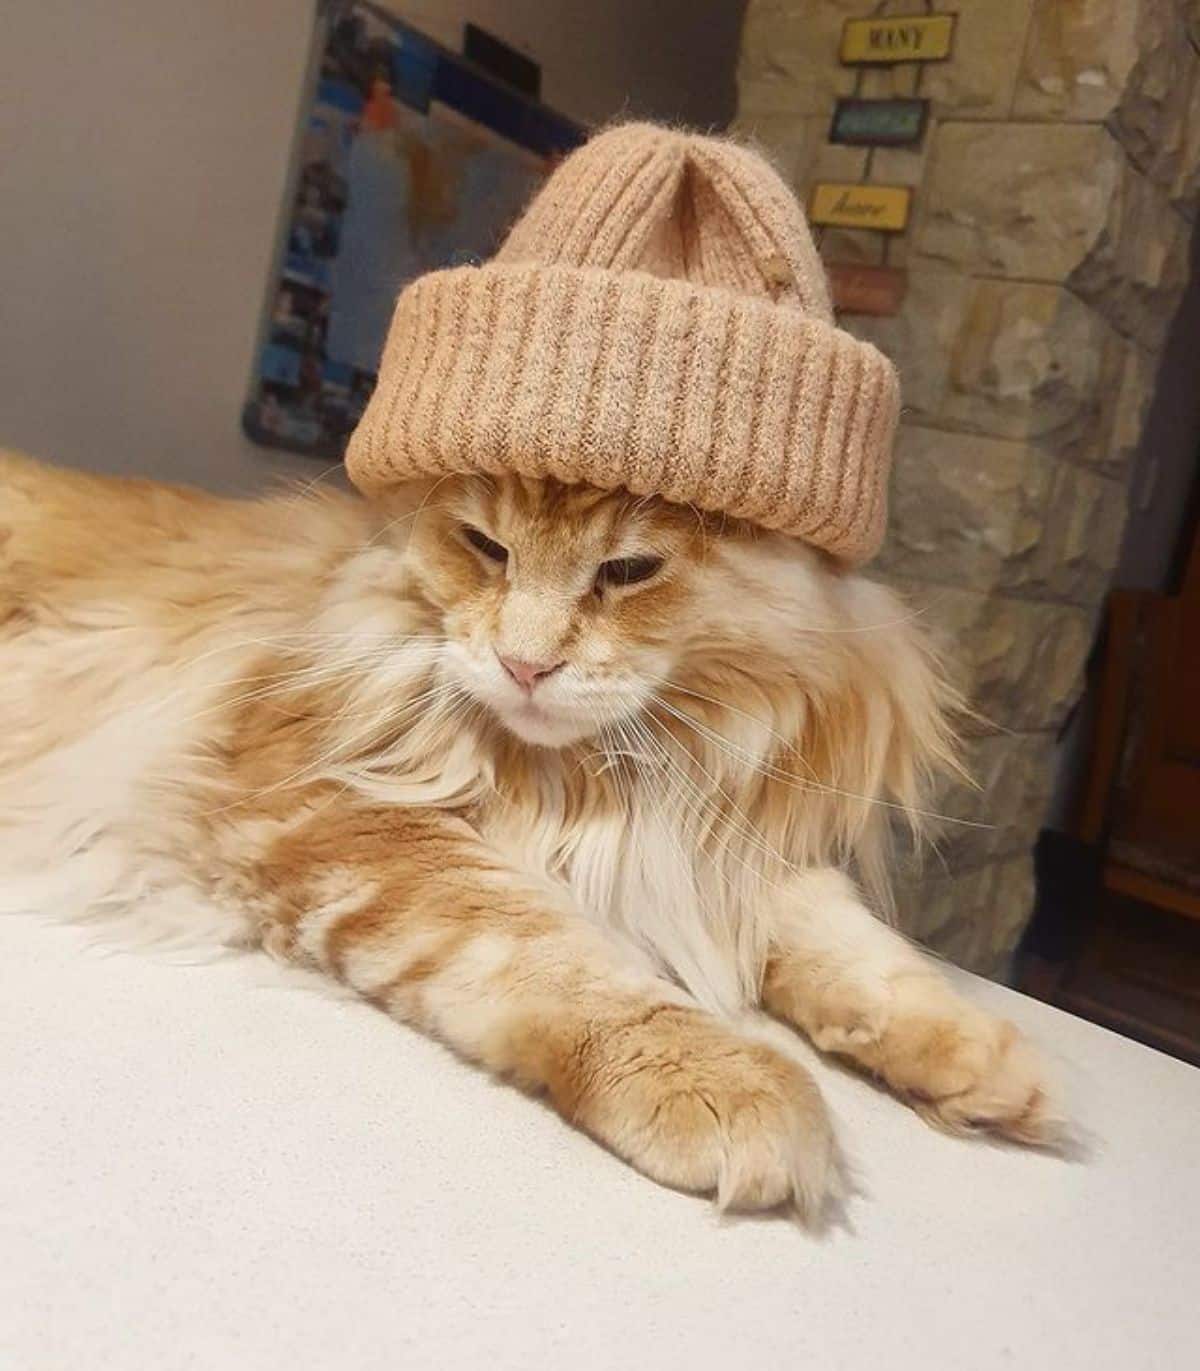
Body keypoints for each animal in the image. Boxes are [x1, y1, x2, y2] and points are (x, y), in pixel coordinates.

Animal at [0, 452, 1053, 1222]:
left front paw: (983, 1061)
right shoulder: (339, 799)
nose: (524, 664)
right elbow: (557, 953)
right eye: (485, 547)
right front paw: (724, 1079)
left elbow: (851, 945)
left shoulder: (716, 846)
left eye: (628, 571)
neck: (609, 780)